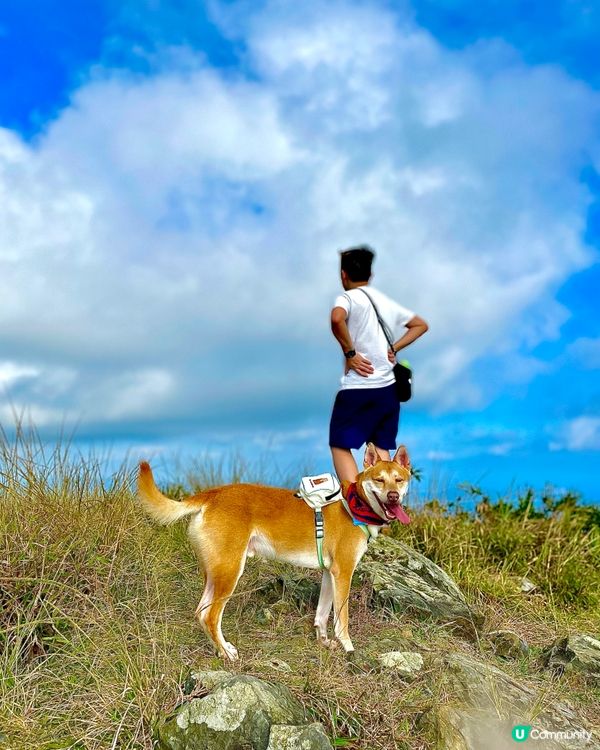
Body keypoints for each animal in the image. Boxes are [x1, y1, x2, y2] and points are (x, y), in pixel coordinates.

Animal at [138, 444, 410, 660]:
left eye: (399, 480)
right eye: (379, 480)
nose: (393, 497)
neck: (356, 505)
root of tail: (211, 495)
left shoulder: (328, 573)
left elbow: (322, 616)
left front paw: (324, 643)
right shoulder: (343, 573)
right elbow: (341, 621)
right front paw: (348, 648)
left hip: (216, 574)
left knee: (201, 612)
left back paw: (222, 649)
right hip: (230, 573)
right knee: (210, 617)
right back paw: (226, 653)